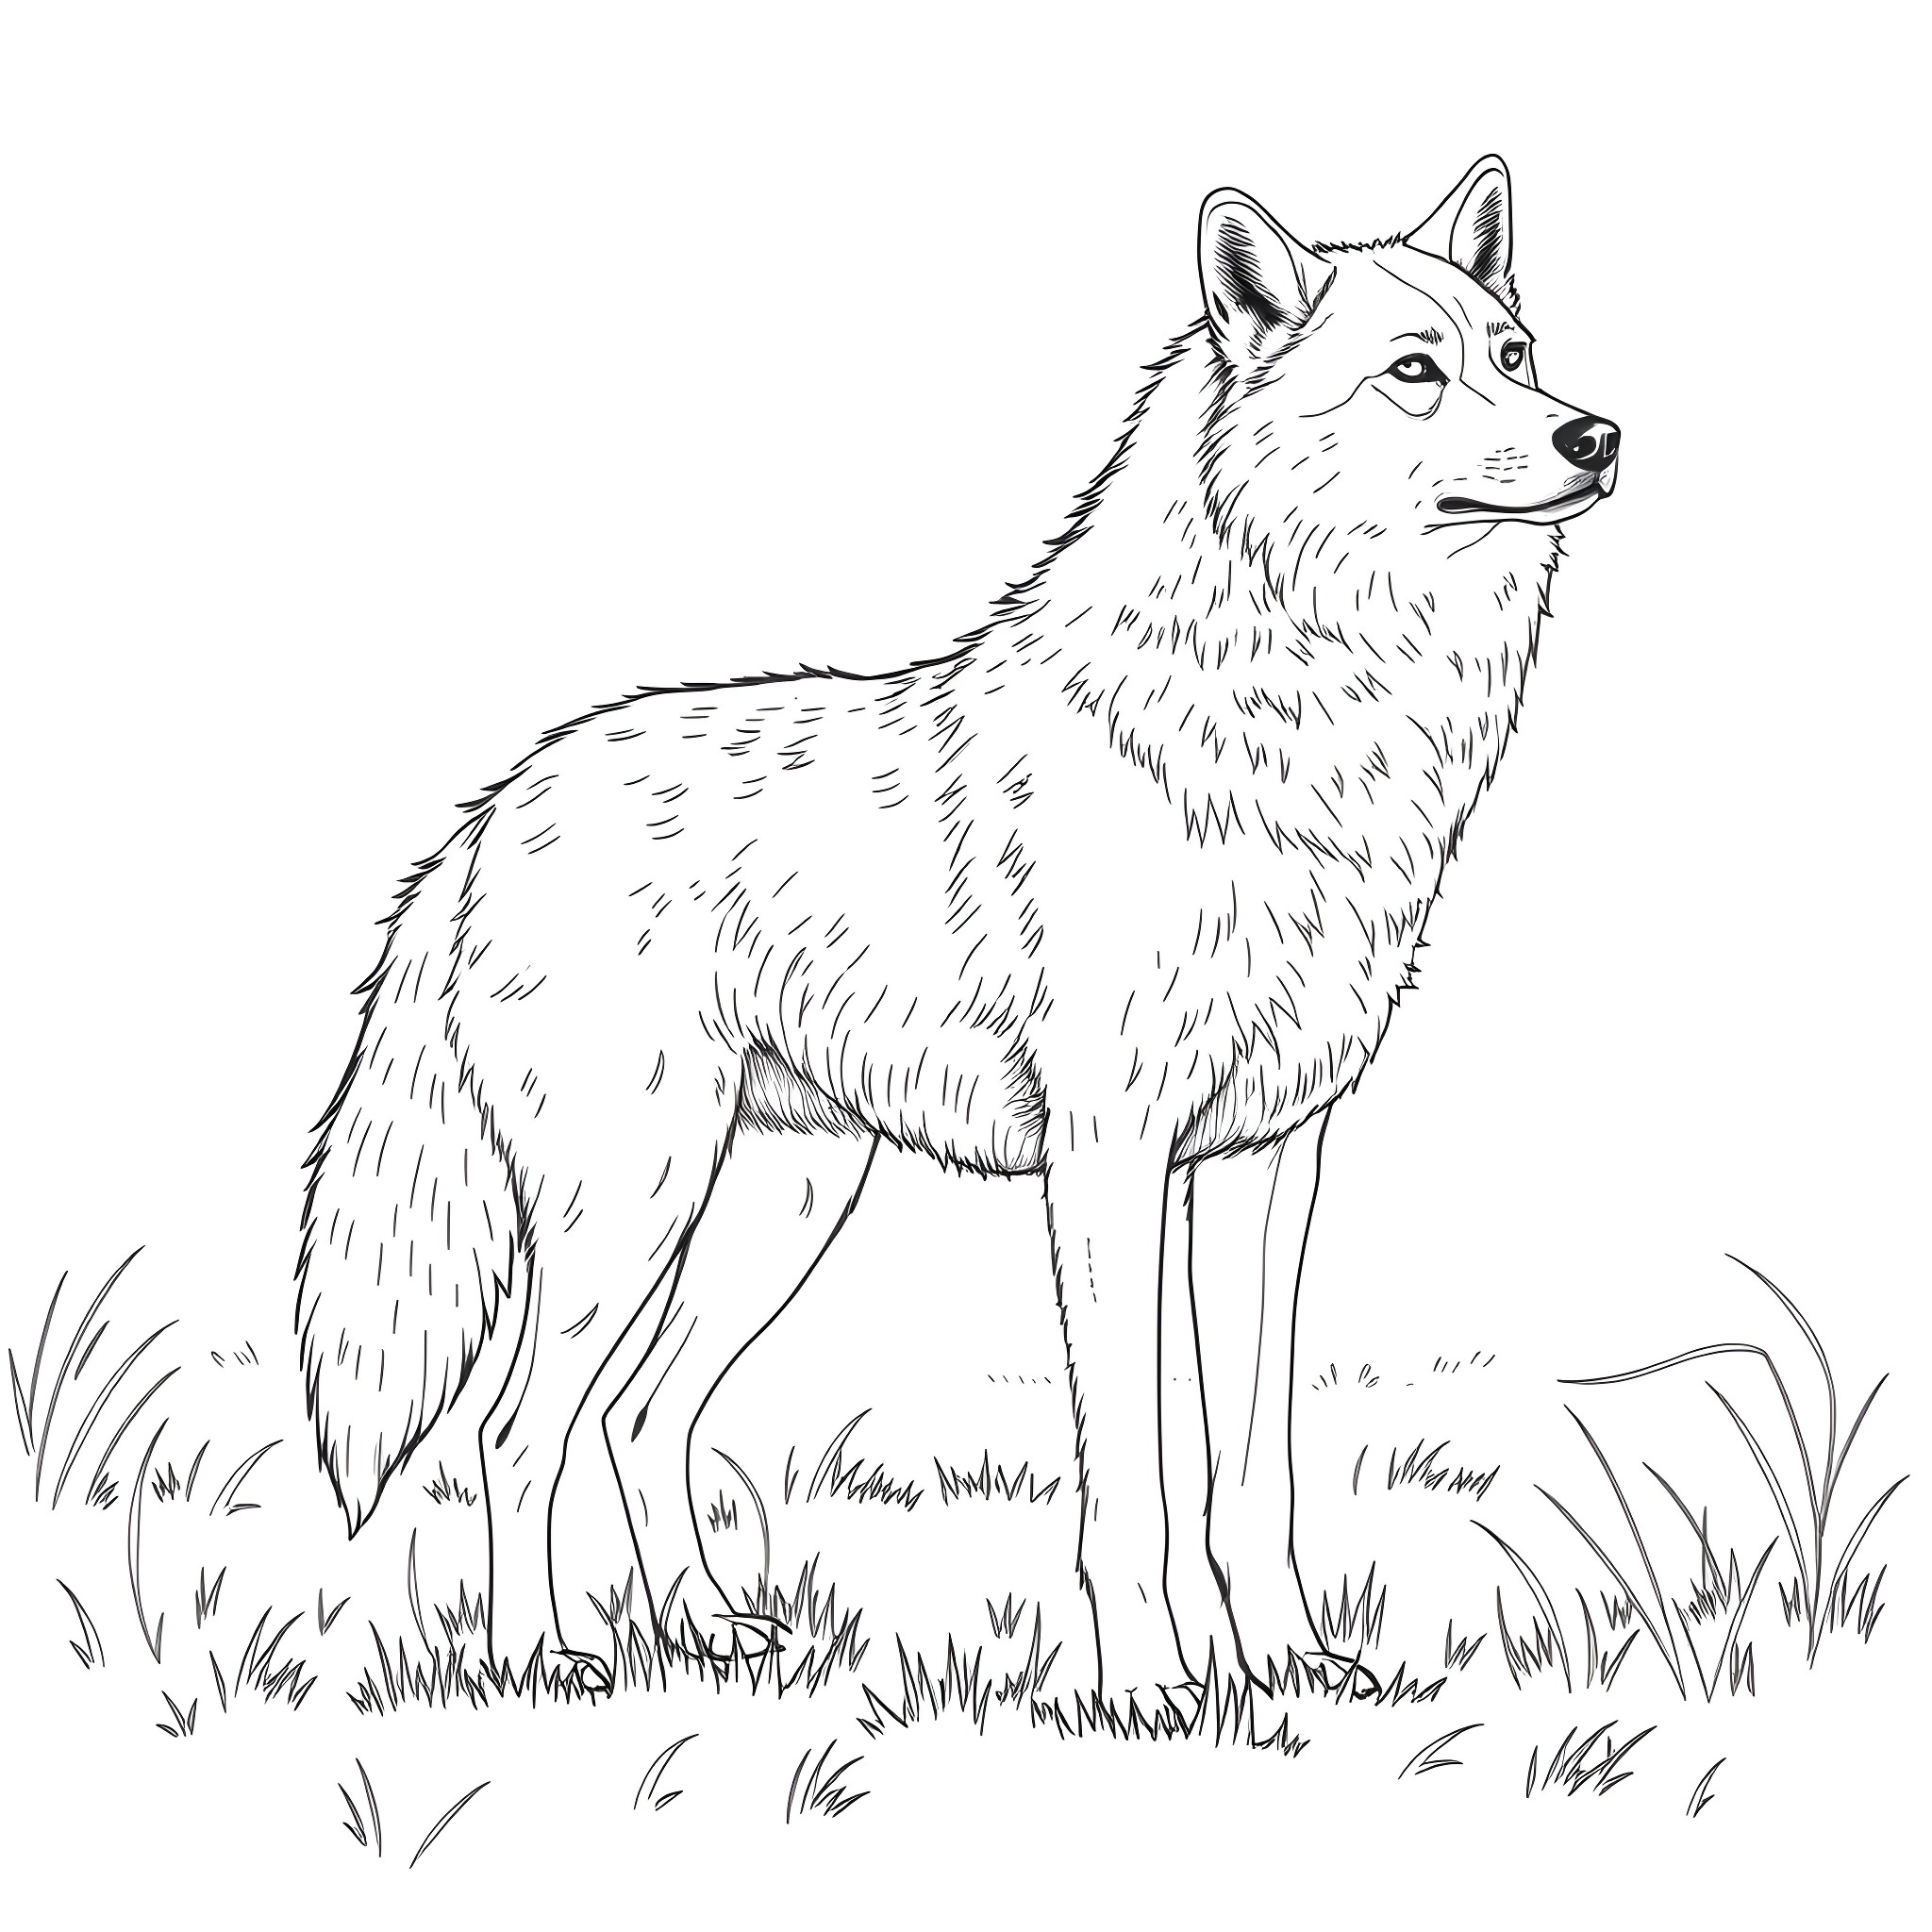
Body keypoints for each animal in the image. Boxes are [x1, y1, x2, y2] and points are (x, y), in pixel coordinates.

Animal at [296, 156, 1618, 1720]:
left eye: (1515, 356)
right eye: (1416, 372)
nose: (1598, 436)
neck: (1289, 722)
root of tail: (497, 808)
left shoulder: (1265, 1166)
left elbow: (1250, 1471)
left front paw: (1286, 1665)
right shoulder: (1107, 1159)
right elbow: (1132, 1481)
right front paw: (1152, 1691)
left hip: (776, 1209)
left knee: (639, 1419)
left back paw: (702, 1634)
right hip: (631, 1208)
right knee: (516, 1434)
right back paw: (537, 1660)